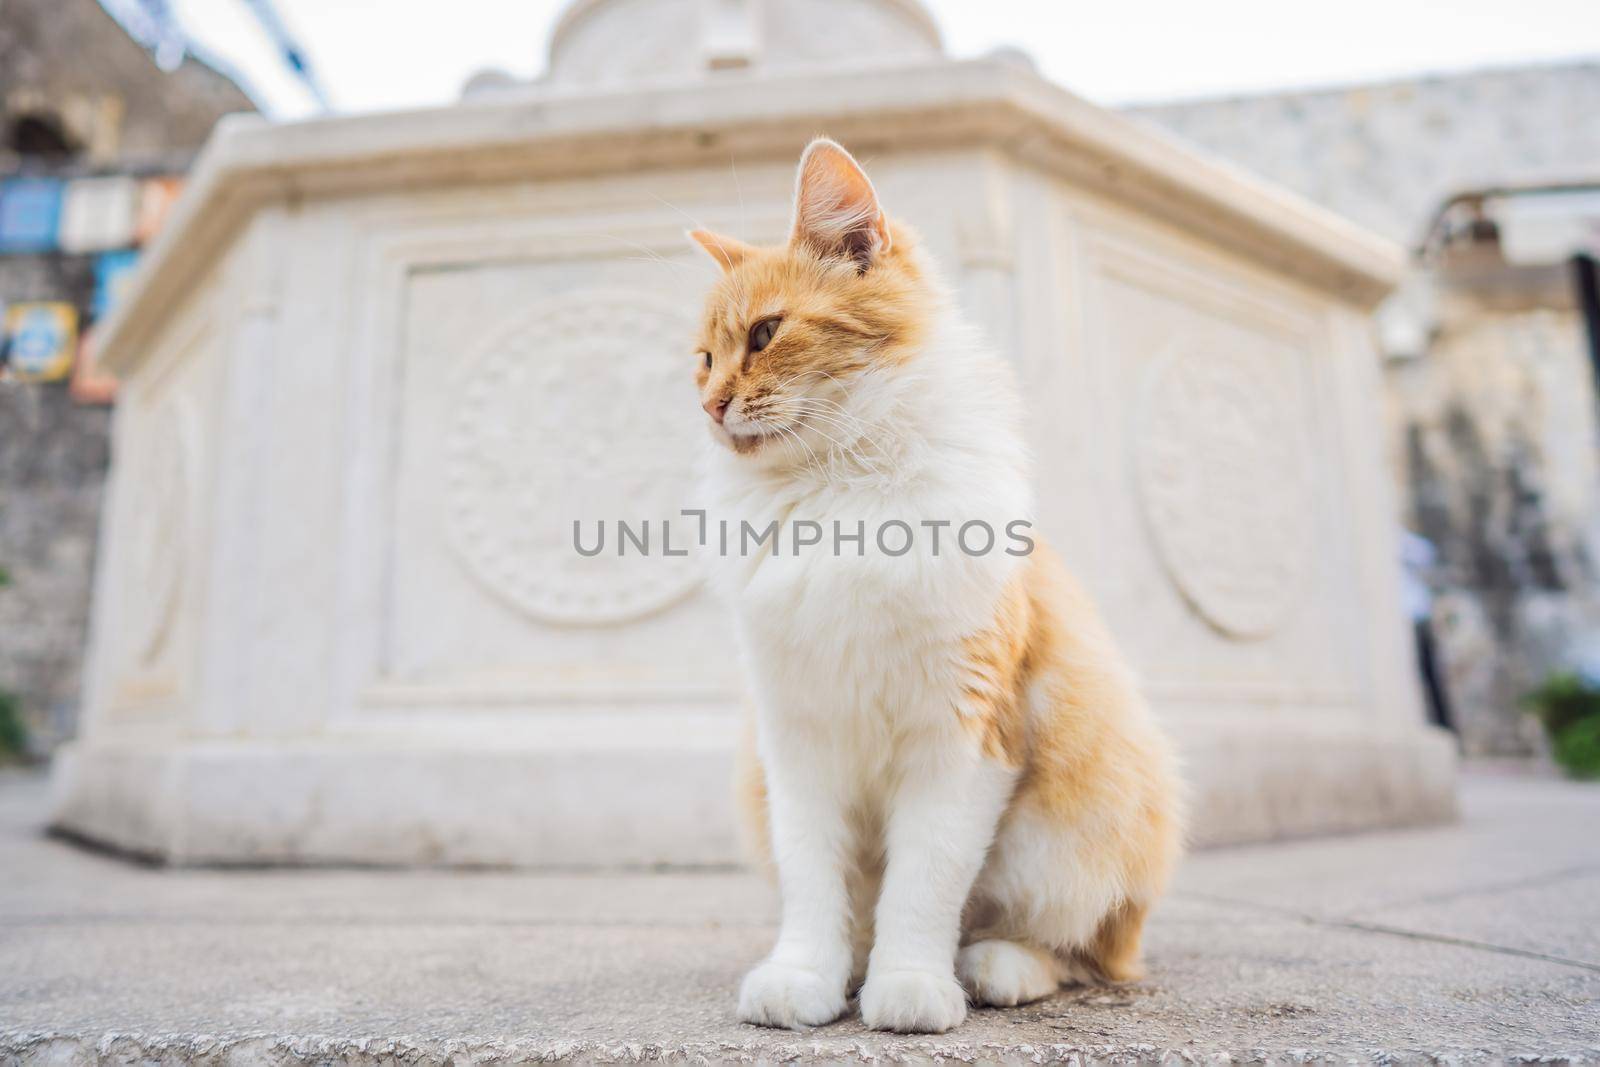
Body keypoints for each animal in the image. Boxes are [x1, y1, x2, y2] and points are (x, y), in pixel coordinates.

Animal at [684, 137, 1177, 1030]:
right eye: (703, 359)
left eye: (767, 333)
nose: (710, 404)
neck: (836, 489)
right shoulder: (794, 739)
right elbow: (815, 881)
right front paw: (806, 975)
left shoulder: (963, 735)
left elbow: (925, 882)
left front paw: (911, 984)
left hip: (1083, 819)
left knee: (1083, 949)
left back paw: (993, 966)